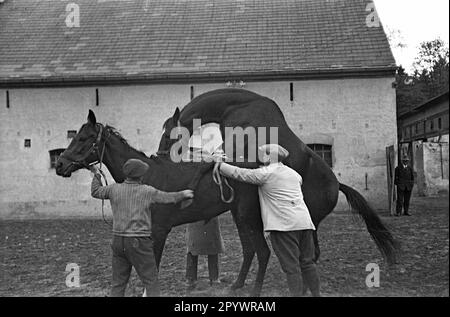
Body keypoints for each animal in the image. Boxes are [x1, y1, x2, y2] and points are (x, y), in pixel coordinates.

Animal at [157, 86, 398, 288]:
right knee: (311, 256)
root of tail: (337, 185)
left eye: (168, 132)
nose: (159, 155)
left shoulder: (234, 152)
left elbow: (207, 163)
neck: (238, 107)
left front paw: (190, 190)